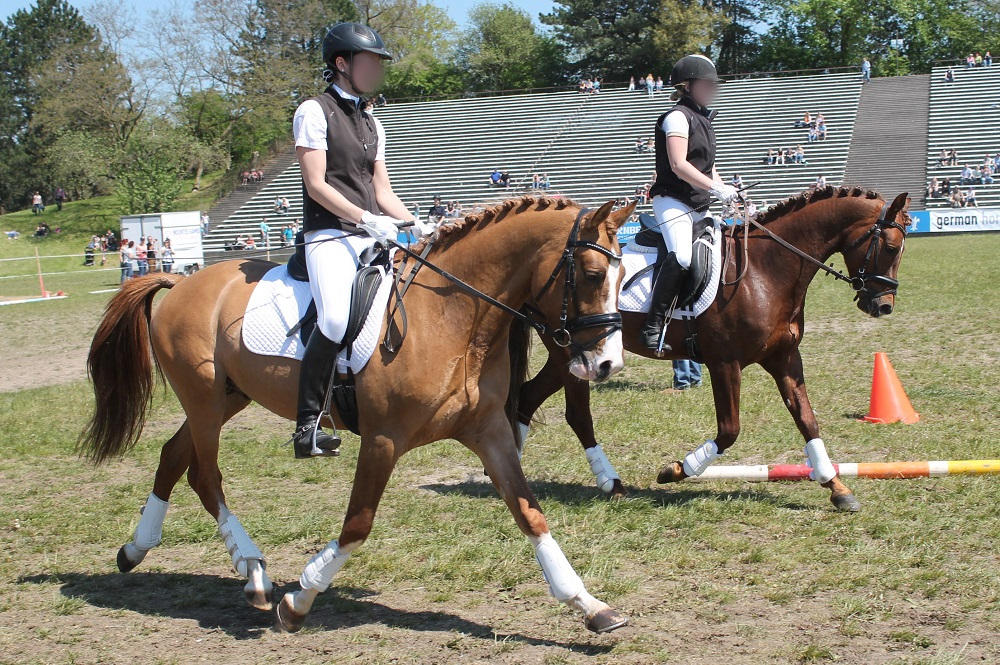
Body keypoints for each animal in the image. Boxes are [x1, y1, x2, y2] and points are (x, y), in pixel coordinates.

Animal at [79, 196, 636, 635]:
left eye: (624, 276)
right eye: (591, 275)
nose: (607, 364)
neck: (454, 318)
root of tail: (181, 282)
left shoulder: (490, 431)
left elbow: (530, 513)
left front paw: (590, 606)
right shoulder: (383, 440)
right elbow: (357, 525)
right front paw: (298, 600)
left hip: (226, 398)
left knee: (174, 457)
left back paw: (137, 550)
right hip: (205, 400)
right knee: (205, 474)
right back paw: (254, 572)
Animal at [516, 187, 911, 511]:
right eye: (891, 247)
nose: (883, 306)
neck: (767, 270)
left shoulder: (784, 358)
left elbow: (807, 420)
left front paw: (837, 487)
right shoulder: (725, 363)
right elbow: (729, 429)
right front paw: (676, 470)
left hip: (569, 355)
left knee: (527, 397)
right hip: (574, 352)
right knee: (575, 414)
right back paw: (609, 483)